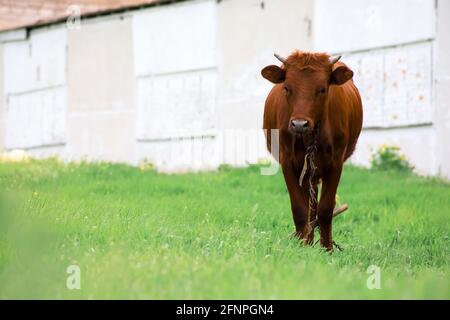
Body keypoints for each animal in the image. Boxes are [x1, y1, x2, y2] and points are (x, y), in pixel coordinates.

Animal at [262, 50, 364, 250]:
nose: (299, 124)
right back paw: (307, 240)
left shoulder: (336, 164)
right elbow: (299, 208)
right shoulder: (288, 162)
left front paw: (327, 249)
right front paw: (302, 247)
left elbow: (325, 209)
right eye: (287, 88)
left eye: (322, 89)